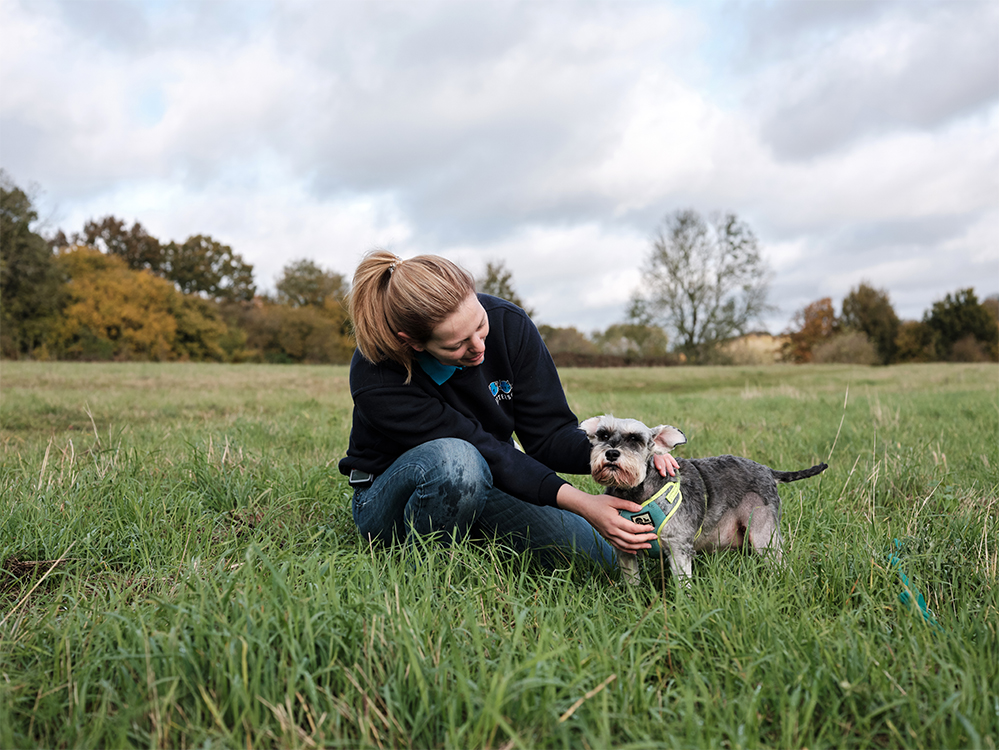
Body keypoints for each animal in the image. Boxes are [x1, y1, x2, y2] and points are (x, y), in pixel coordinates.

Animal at [580, 418, 828, 588]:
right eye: (603, 435)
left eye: (635, 439)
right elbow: (632, 584)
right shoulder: (624, 550)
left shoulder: (679, 548)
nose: (612, 454)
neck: (637, 492)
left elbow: (683, 585)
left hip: (764, 537)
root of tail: (768, 471)